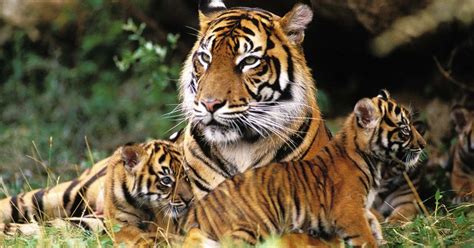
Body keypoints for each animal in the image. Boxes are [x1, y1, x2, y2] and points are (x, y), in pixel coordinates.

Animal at [181, 90, 426, 246]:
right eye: (405, 130)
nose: (423, 145)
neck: (373, 161)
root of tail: (198, 213)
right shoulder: (349, 211)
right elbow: (364, 236)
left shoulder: (362, 207)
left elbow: (373, 221)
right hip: (250, 228)